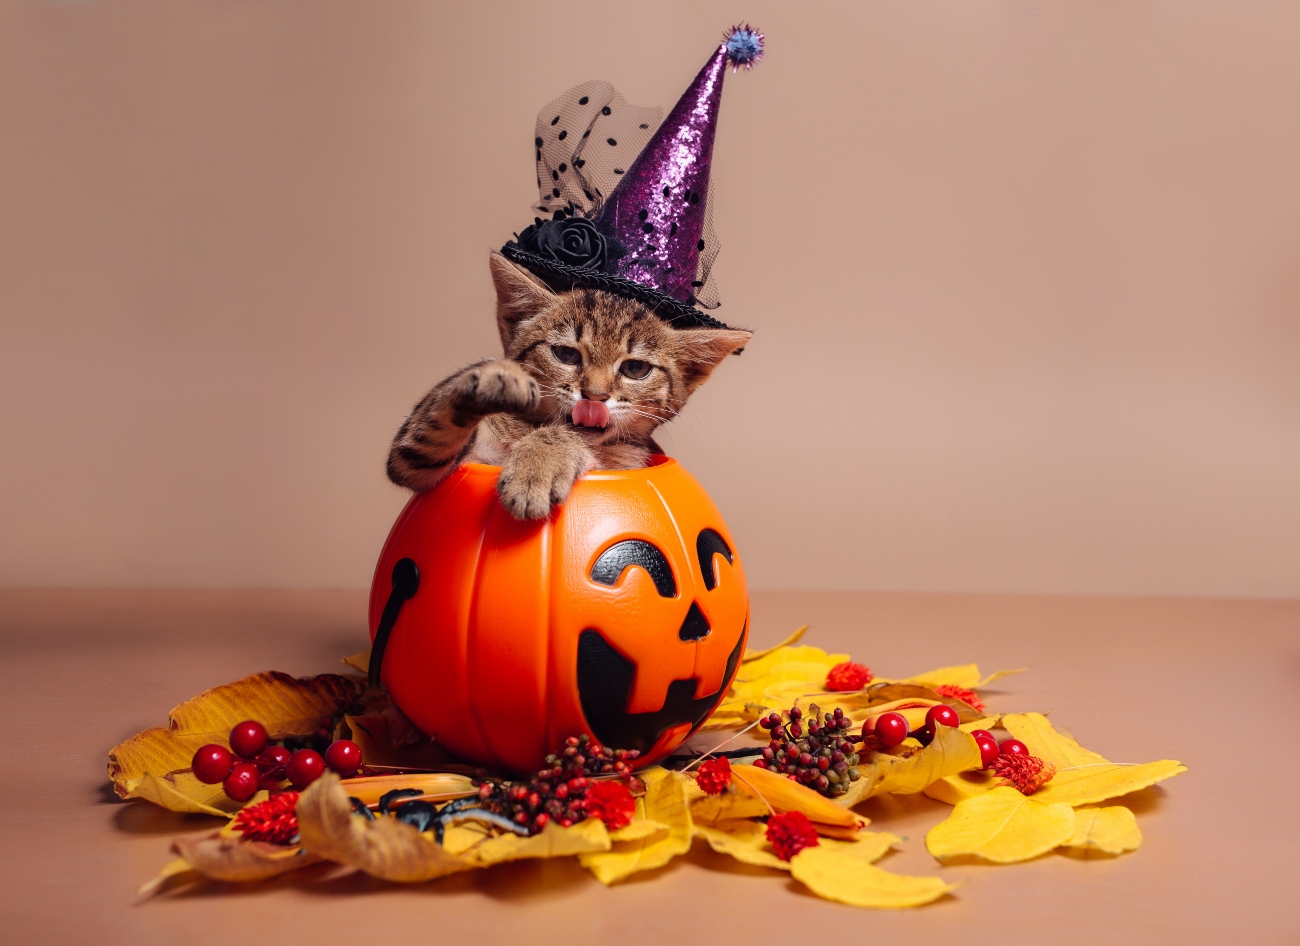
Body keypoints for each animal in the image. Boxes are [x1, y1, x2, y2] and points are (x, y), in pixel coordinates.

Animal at [384, 250, 754, 517]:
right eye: (566, 354)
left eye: (635, 369)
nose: (595, 396)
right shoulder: (421, 458)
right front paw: (490, 379)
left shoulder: (626, 462)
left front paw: (538, 463)